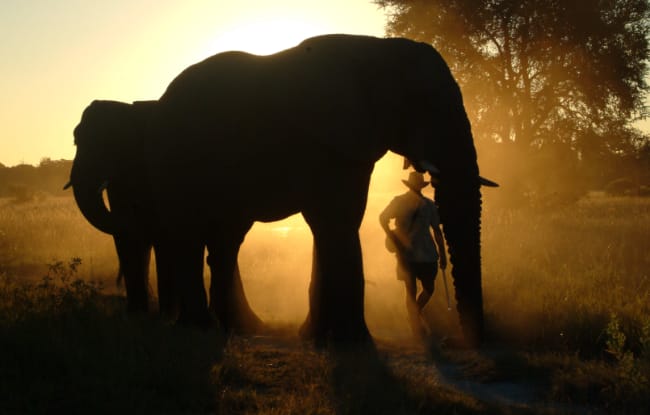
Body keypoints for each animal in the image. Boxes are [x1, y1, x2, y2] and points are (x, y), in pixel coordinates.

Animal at [71, 35, 494, 348]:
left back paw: (241, 327)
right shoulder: (327, 139)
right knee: (189, 237)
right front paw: (353, 344)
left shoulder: (348, 144)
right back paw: (198, 329)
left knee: (224, 243)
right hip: (172, 162)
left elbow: (334, 223)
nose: (468, 341)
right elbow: (336, 221)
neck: (376, 50)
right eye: (424, 104)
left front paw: (317, 338)